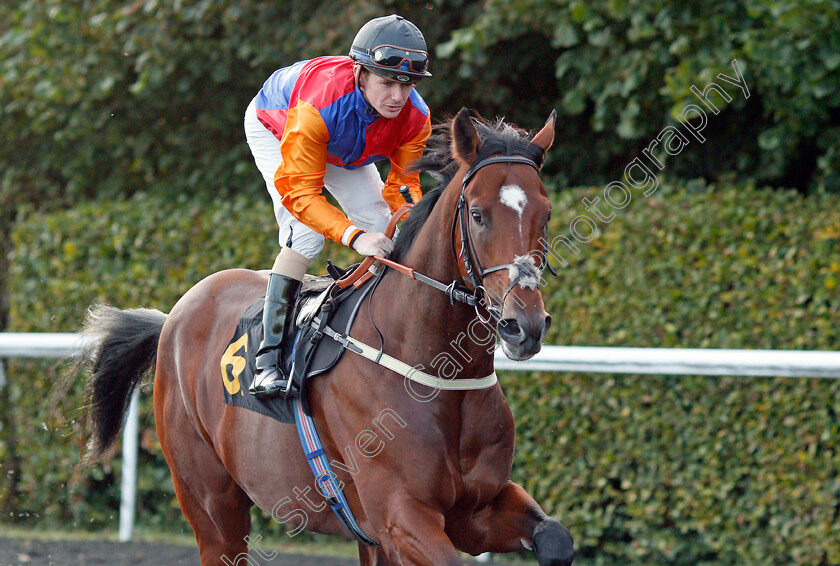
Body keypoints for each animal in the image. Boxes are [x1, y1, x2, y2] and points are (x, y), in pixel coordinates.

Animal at [79, 108, 576, 564]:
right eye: (477, 214)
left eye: (546, 213)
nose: (523, 325)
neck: (434, 372)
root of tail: (173, 317)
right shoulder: (402, 516)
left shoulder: (474, 509)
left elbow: (556, 538)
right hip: (211, 502)